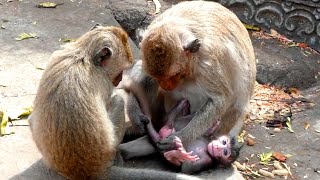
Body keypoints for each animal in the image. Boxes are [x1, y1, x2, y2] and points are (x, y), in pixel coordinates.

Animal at [28, 24, 201, 180]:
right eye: (120, 70)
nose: (118, 80)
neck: (82, 55)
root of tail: (93, 171)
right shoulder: (103, 82)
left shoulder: (58, 53)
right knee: (118, 101)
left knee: (31, 119)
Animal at [139, 0, 256, 153]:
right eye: (159, 78)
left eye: (175, 75)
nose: (166, 86)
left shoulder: (208, 64)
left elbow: (219, 101)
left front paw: (179, 137)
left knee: (236, 105)